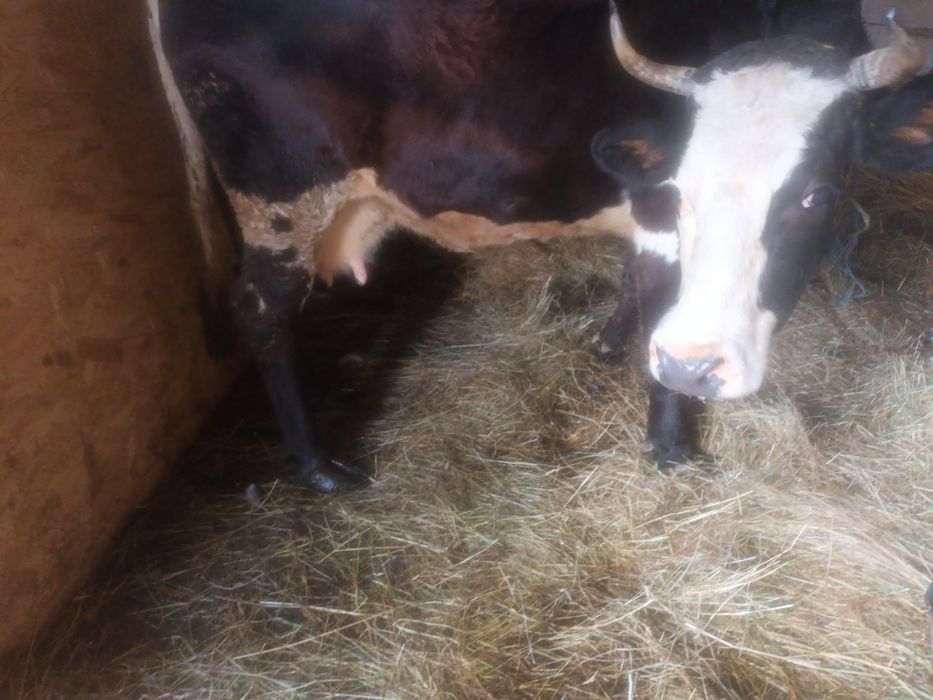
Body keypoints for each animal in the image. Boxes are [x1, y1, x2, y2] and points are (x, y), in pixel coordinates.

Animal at [147, 0, 933, 492]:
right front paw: (672, 444)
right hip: (279, 196)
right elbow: (661, 308)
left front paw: (612, 344)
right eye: (681, 184)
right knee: (260, 309)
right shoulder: (654, 213)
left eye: (816, 195)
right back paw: (315, 463)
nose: (701, 367)